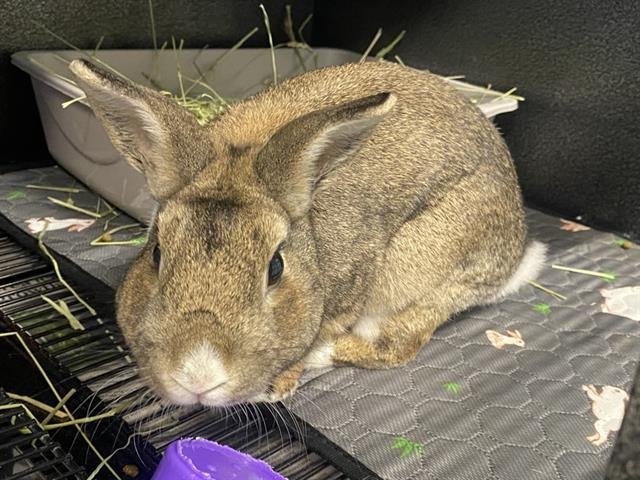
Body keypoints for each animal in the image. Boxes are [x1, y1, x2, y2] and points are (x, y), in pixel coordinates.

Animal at [69, 58, 545, 406]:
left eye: (275, 267)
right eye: (157, 254)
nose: (199, 377)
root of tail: (515, 256)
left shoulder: (355, 286)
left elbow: (334, 329)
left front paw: (284, 379)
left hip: (417, 269)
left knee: (397, 344)